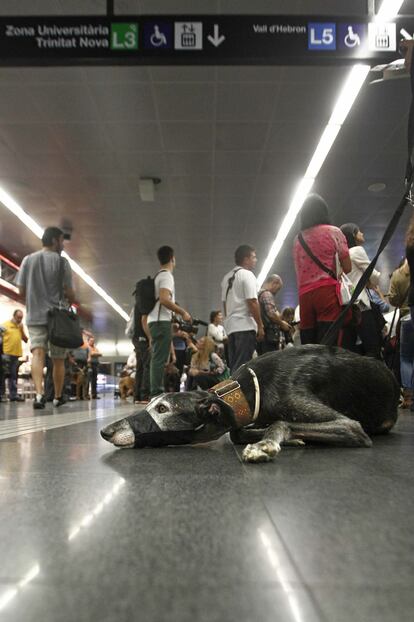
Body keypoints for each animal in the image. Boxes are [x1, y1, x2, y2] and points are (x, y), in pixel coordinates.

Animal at [98, 346, 400, 464]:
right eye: (152, 403)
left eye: (162, 409)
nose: (105, 432)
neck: (248, 390)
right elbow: (237, 431)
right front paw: (290, 439)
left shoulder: (350, 427)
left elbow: (280, 422)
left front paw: (266, 444)